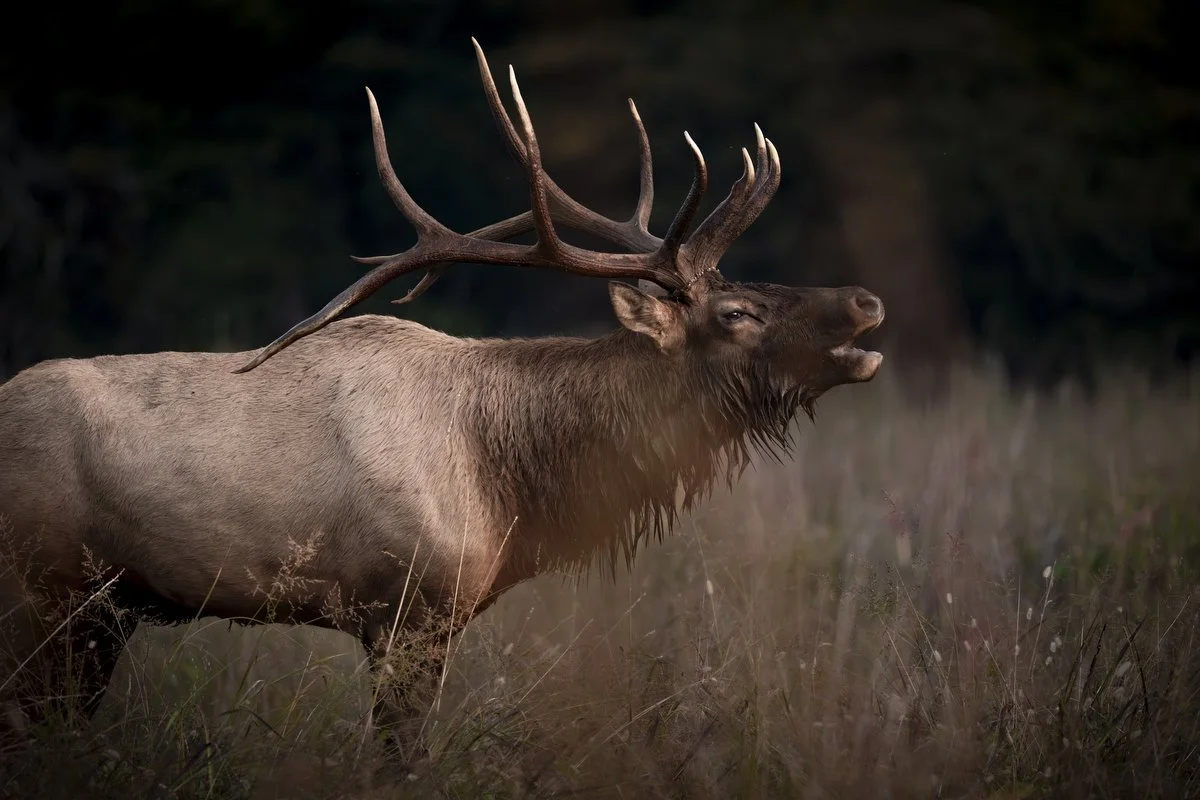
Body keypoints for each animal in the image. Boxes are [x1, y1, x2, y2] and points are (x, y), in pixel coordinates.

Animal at [0, 40, 883, 757]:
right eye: (734, 311)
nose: (866, 301)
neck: (511, 489)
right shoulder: (406, 608)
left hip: (100, 614)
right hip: (42, 591)